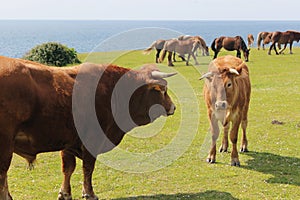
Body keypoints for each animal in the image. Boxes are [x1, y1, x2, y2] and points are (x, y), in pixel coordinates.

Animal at [0, 55, 177, 200]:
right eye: (163, 90)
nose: (173, 107)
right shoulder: (92, 139)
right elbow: (88, 168)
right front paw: (89, 193)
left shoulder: (68, 141)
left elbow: (68, 168)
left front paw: (65, 193)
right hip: (5, 145)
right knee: (2, 173)